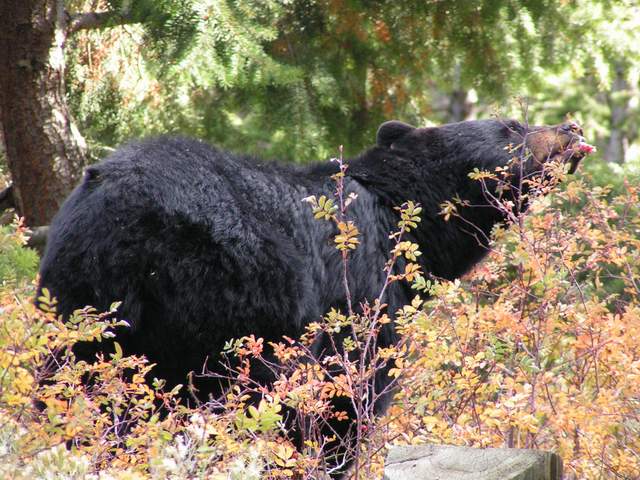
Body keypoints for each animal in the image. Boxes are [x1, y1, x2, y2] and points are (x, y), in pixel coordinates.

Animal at [35, 118, 584, 470]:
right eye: (510, 125)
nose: (573, 129)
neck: (396, 212)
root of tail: (116, 208)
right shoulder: (360, 288)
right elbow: (349, 390)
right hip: (217, 298)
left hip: (75, 292)